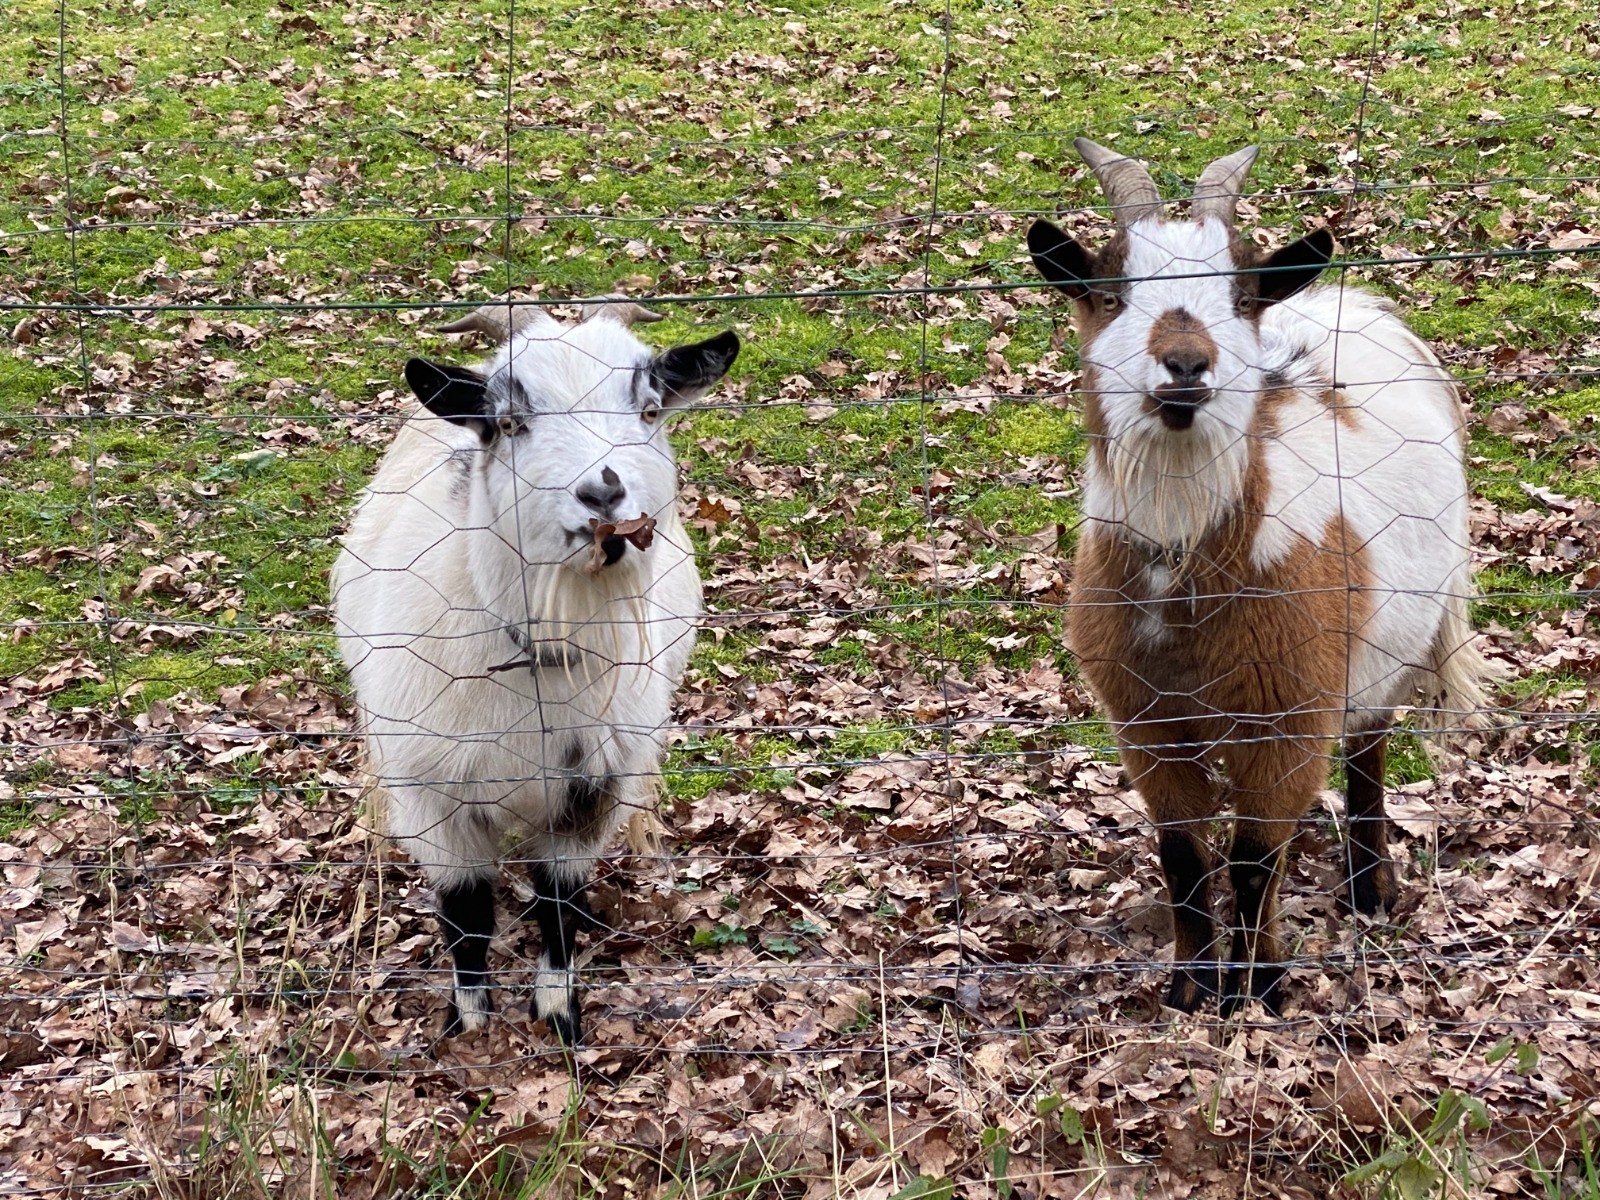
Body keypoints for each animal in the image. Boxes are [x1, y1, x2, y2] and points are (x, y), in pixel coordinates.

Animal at [331, 294, 739, 1042]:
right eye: (509, 423)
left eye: (649, 409)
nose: (603, 495)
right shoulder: (432, 797)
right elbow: (466, 914)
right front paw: (469, 1022)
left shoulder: (594, 790)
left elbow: (560, 904)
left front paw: (558, 1014)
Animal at [1026, 140, 1495, 1016]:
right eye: (1109, 294)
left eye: (1240, 297)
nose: (1186, 365)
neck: (1189, 574)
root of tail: (1349, 302)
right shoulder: (1145, 720)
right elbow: (1184, 855)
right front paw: (1190, 987)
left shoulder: (1290, 711)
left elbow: (1252, 858)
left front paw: (1261, 988)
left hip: (1384, 652)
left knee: (1367, 754)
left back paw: (1367, 890)